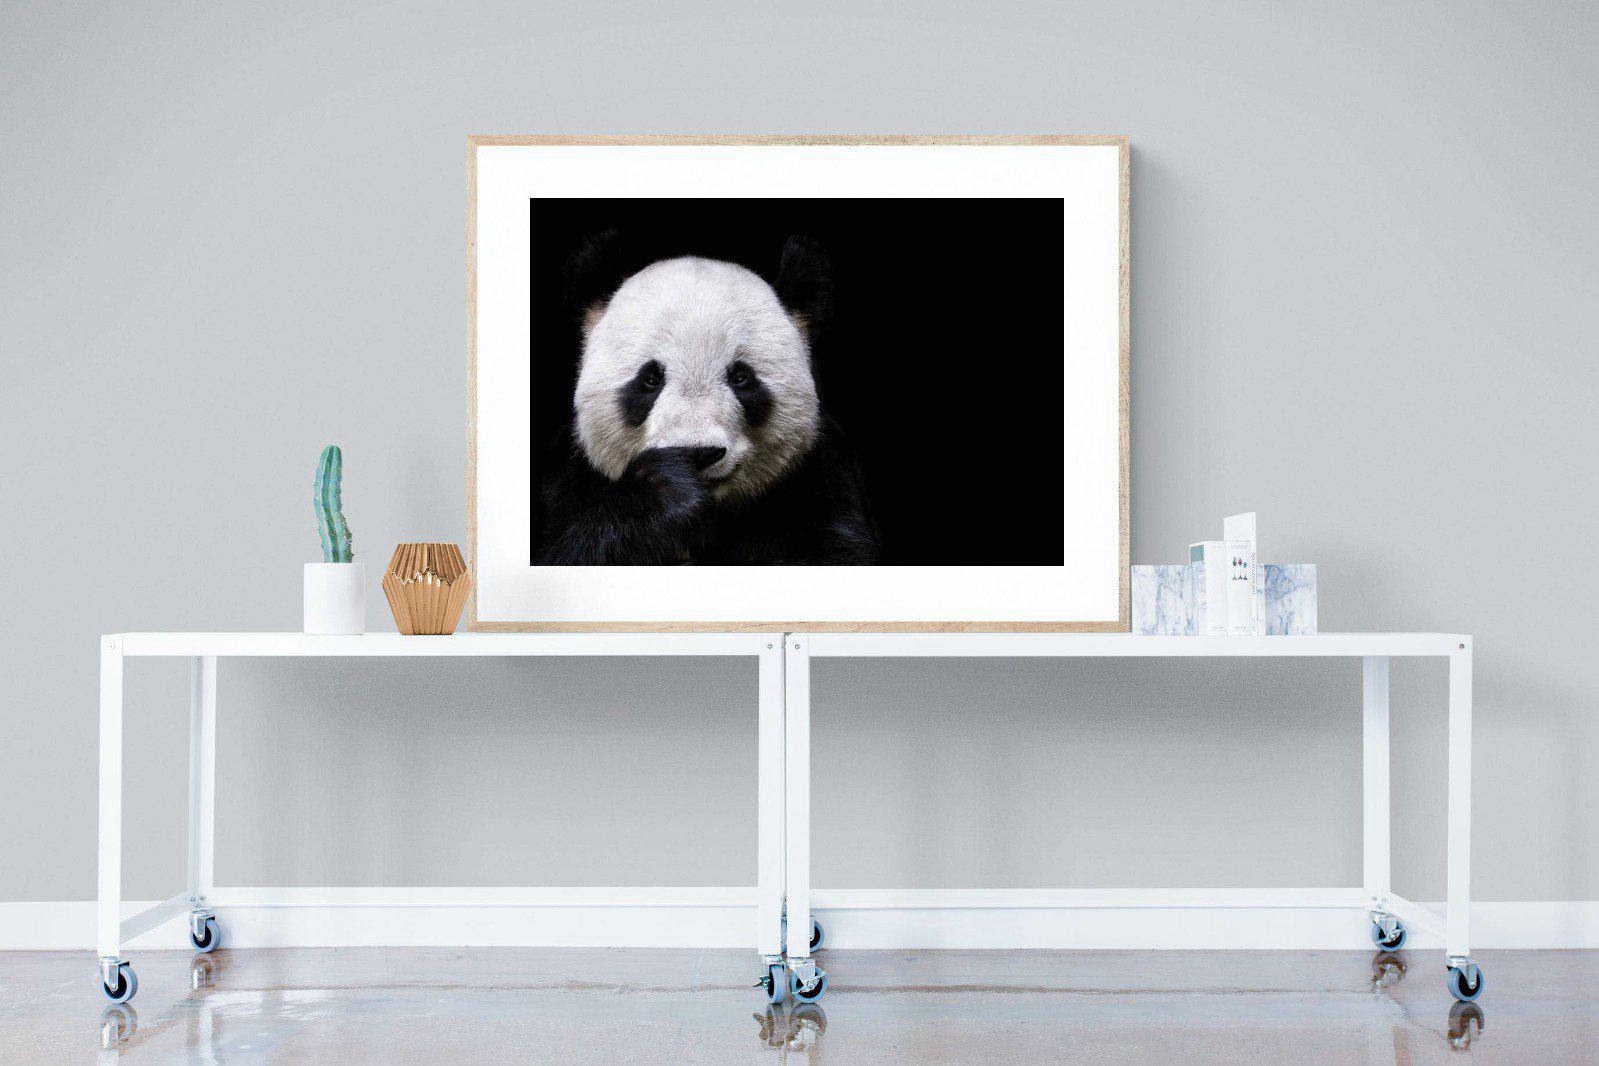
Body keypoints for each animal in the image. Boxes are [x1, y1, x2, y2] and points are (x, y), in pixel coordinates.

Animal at [534, 231, 882, 565]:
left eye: (740, 377)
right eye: (650, 380)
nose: (699, 453)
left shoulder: (822, 479)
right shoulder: (567, 481)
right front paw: (664, 487)